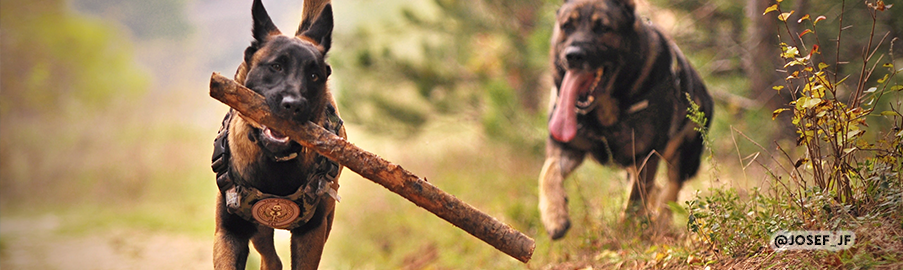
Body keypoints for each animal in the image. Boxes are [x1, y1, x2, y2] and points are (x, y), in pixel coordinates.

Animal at [210, 0, 344, 268]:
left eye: (314, 76)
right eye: (276, 66)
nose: (294, 105)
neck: (275, 163)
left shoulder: (311, 234)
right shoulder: (229, 233)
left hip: (325, 221)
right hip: (258, 230)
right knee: (271, 259)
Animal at [540, 0, 716, 240]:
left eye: (603, 28)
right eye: (567, 26)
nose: (573, 56)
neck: (603, 113)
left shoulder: (646, 157)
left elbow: (634, 201)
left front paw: (627, 234)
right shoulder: (566, 148)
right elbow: (547, 173)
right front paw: (555, 216)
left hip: (683, 158)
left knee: (670, 191)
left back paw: (660, 222)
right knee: (656, 191)